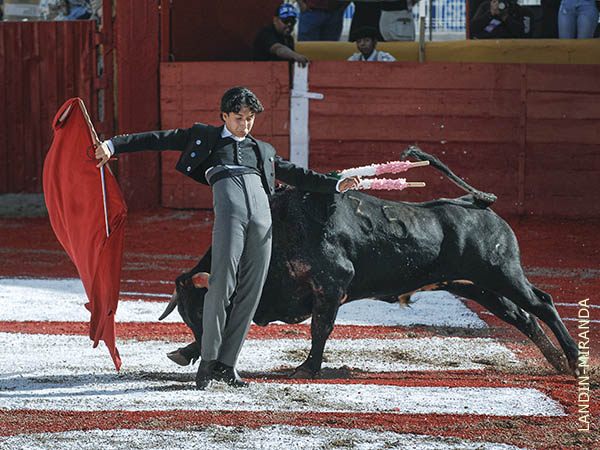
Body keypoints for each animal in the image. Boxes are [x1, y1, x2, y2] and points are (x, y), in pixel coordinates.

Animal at [159, 147, 579, 379]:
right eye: (189, 316)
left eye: (200, 310)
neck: (281, 230)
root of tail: (474, 203)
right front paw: (187, 352)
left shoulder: (332, 284)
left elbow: (320, 330)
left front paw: (307, 369)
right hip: (475, 285)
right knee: (521, 316)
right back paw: (557, 360)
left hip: (502, 273)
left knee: (542, 303)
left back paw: (574, 361)